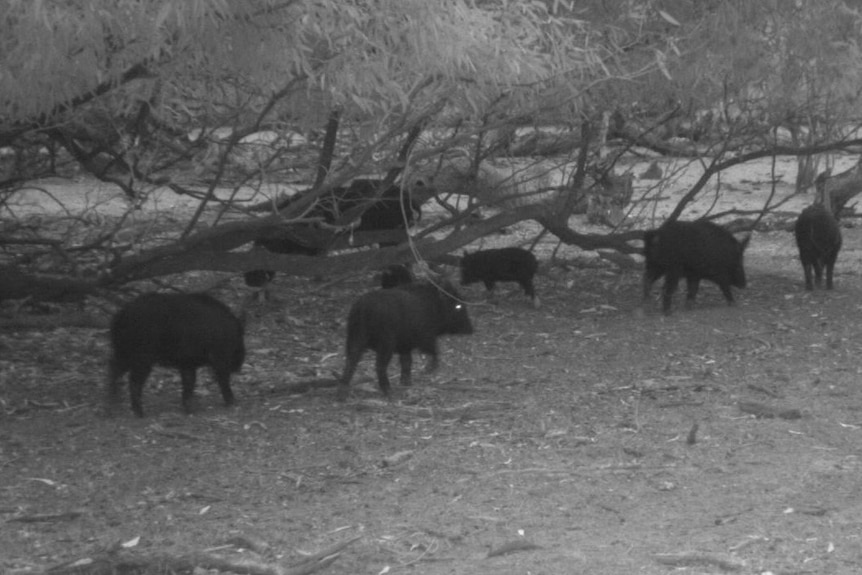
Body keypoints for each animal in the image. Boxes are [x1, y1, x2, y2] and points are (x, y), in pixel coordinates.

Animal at [107, 294, 246, 416]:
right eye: (240, 340)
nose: (239, 366)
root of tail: (119, 318)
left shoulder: (188, 363)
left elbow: (188, 383)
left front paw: (189, 408)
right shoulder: (218, 358)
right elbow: (222, 379)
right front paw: (231, 401)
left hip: (125, 353)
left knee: (114, 369)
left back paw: (111, 403)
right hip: (141, 358)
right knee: (133, 382)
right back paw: (138, 412)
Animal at [338, 280, 472, 400]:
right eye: (458, 306)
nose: (471, 329)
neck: (434, 305)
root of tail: (362, 309)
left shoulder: (405, 345)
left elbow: (407, 361)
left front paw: (406, 382)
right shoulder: (426, 337)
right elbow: (433, 352)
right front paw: (428, 369)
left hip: (354, 340)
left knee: (350, 362)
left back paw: (342, 392)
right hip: (386, 344)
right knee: (379, 366)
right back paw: (388, 391)